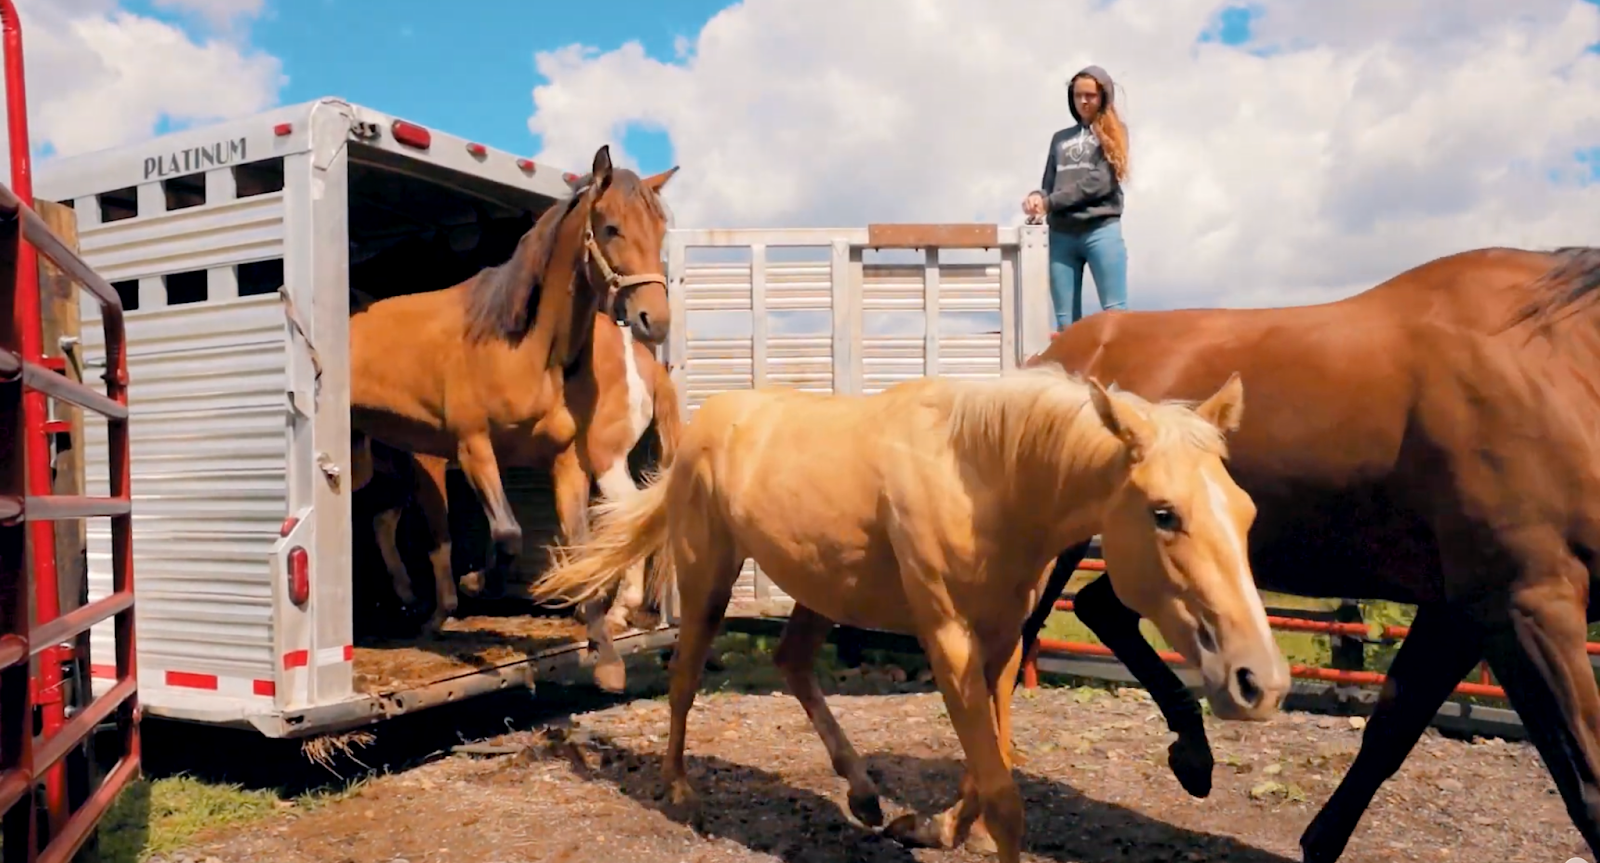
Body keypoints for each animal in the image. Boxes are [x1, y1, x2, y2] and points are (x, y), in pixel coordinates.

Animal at [348, 144, 678, 687]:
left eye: (661, 229)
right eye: (610, 227)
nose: (657, 319)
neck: (522, 347)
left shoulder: (561, 460)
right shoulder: (466, 449)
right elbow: (487, 534)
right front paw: (454, 595)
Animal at [525, 364, 1291, 863]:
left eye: (1247, 510)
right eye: (1165, 513)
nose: (1261, 682)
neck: (983, 476)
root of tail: (704, 428)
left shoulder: (1001, 640)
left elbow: (993, 764)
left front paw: (934, 827)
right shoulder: (947, 637)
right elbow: (1006, 798)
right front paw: (950, 828)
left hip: (819, 587)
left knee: (793, 663)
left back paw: (864, 794)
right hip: (707, 570)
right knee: (685, 678)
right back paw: (682, 794)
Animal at [1016, 246, 1600, 863]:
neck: (1560, 370)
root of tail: (1054, 352)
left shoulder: (1458, 612)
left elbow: (1390, 731)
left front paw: (1318, 844)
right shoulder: (1526, 603)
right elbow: (1587, 786)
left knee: (1096, 608)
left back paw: (1194, 754)